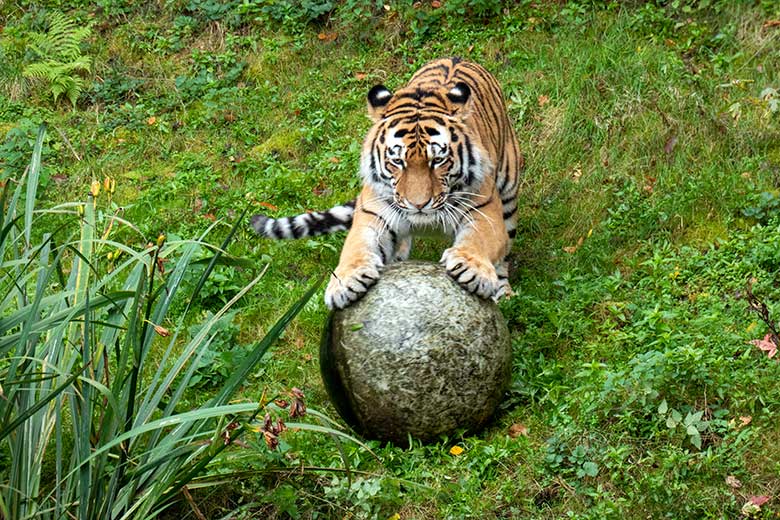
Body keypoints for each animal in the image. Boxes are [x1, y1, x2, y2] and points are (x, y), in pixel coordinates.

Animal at [253, 57, 524, 308]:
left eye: (438, 160)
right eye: (397, 161)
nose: (418, 205)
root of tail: (456, 57)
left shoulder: (484, 212)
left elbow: (479, 240)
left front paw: (471, 267)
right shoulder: (372, 215)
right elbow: (355, 247)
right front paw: (345, 282)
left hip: (509, 194)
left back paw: (504, 292)